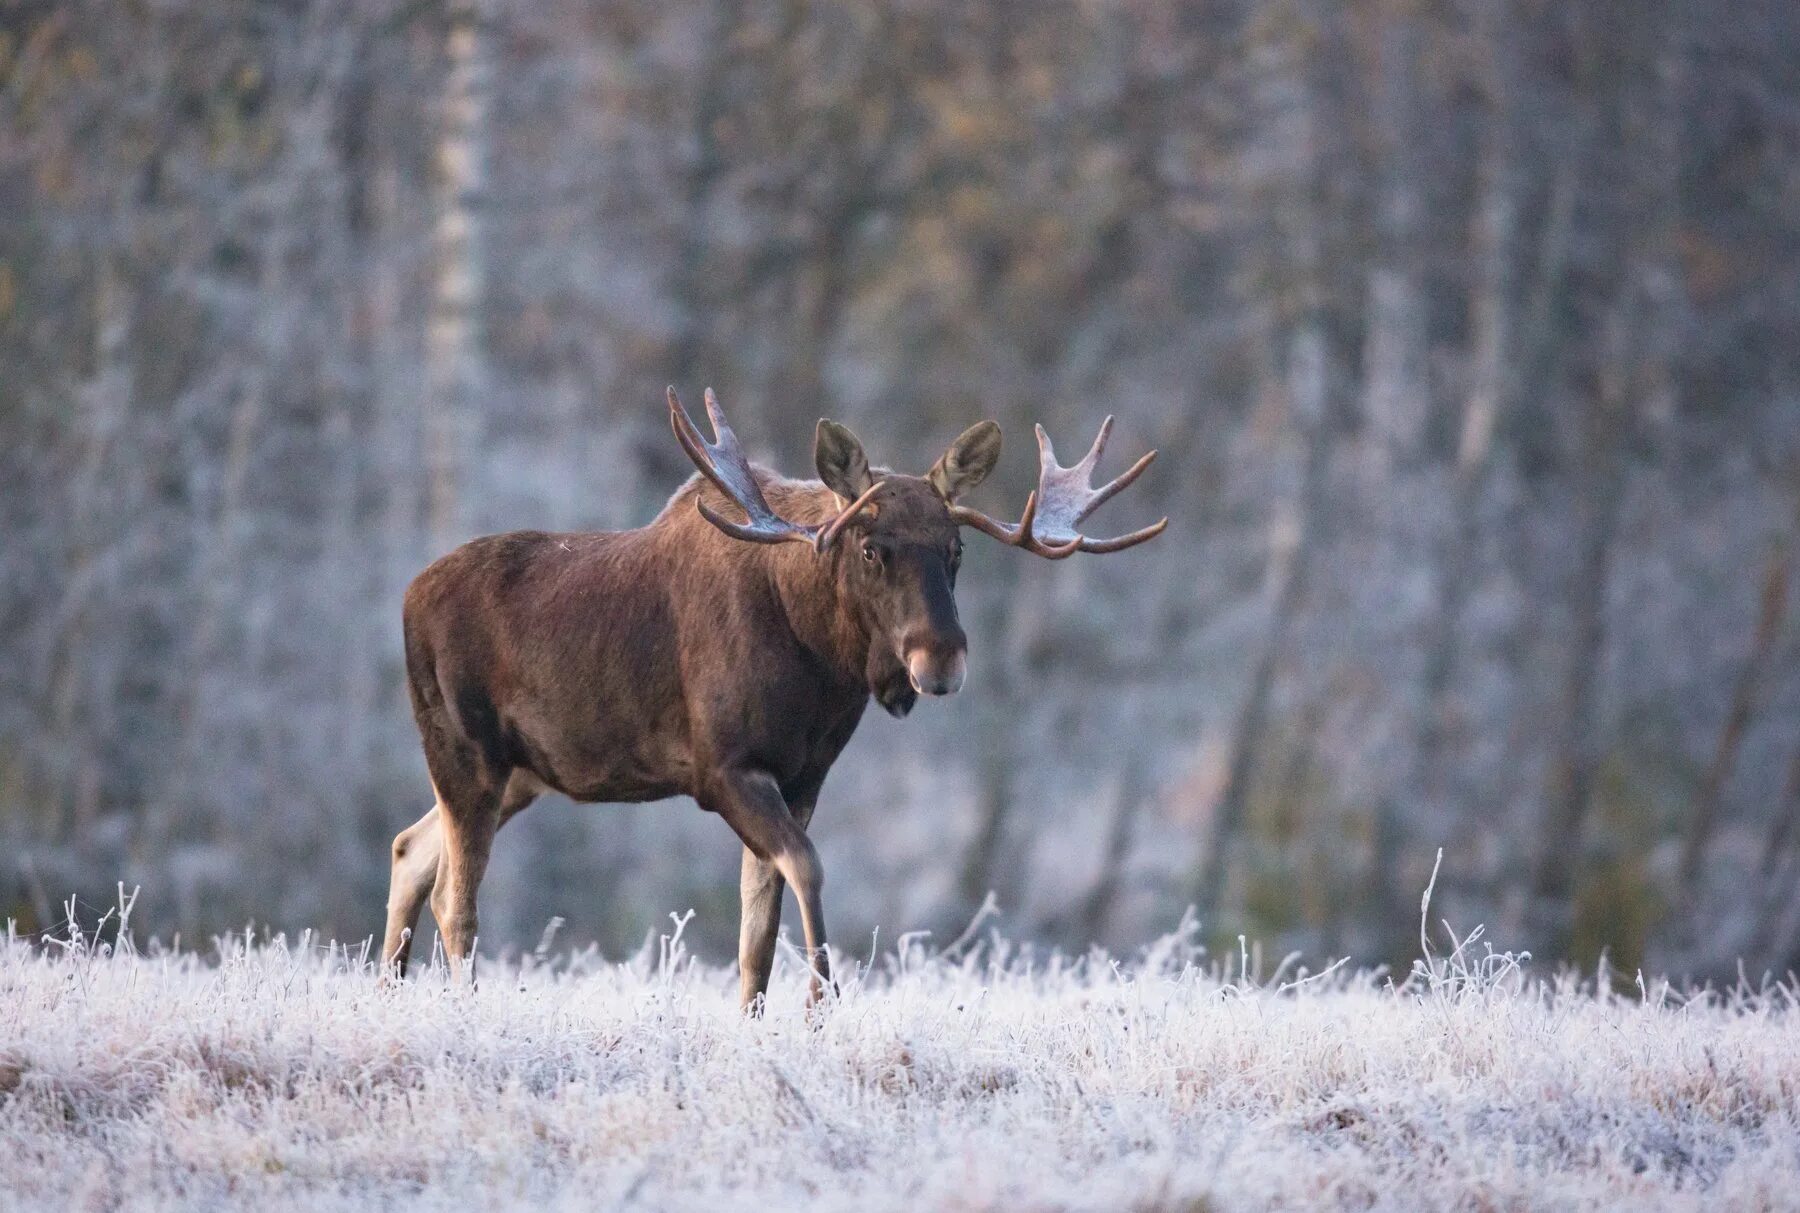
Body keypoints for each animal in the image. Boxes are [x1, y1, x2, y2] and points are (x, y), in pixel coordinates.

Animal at [383, 386, 1166, 1000]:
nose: (940, 659)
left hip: (523, 772)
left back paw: (390, 986)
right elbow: (806, 870)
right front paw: (824, 1003)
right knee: (456, 895)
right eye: (872, 547)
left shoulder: (803, 776)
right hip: (466, 753)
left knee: (410, 847)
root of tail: (408, 594)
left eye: (956, 550)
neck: (818, 663)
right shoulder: (724, 769)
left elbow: (756, 933)